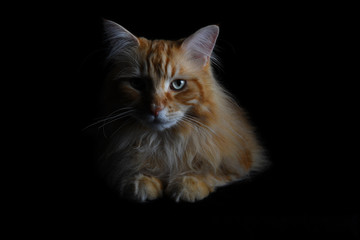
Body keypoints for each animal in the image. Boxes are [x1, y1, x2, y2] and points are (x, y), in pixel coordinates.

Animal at [95, 19, 268, 202]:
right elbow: (132, 170)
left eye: (178, 84)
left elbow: (210, 172)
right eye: (137, 84)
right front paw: (141, 181)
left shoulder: (240, 161)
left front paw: (189, 184)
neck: (164, 142)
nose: (155, 109)